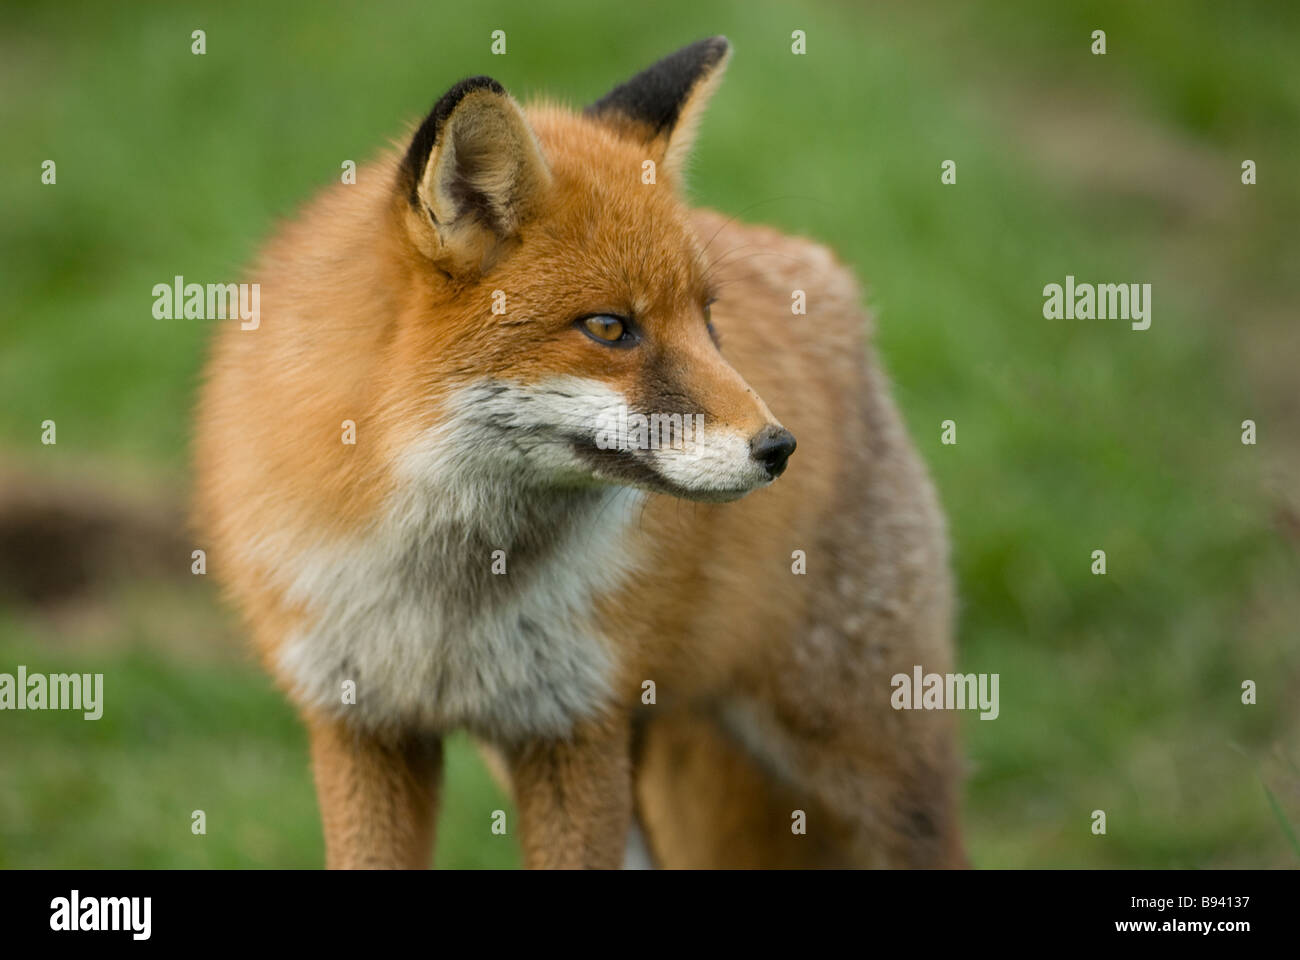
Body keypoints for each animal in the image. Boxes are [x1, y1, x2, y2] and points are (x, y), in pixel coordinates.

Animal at [194, 36, 966, 869]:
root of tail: (832, 280)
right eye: (609, 328)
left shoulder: (573, 724)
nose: (780, 448)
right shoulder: (362, 726)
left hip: (866, 760)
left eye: (707, 320)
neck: (444, 599)